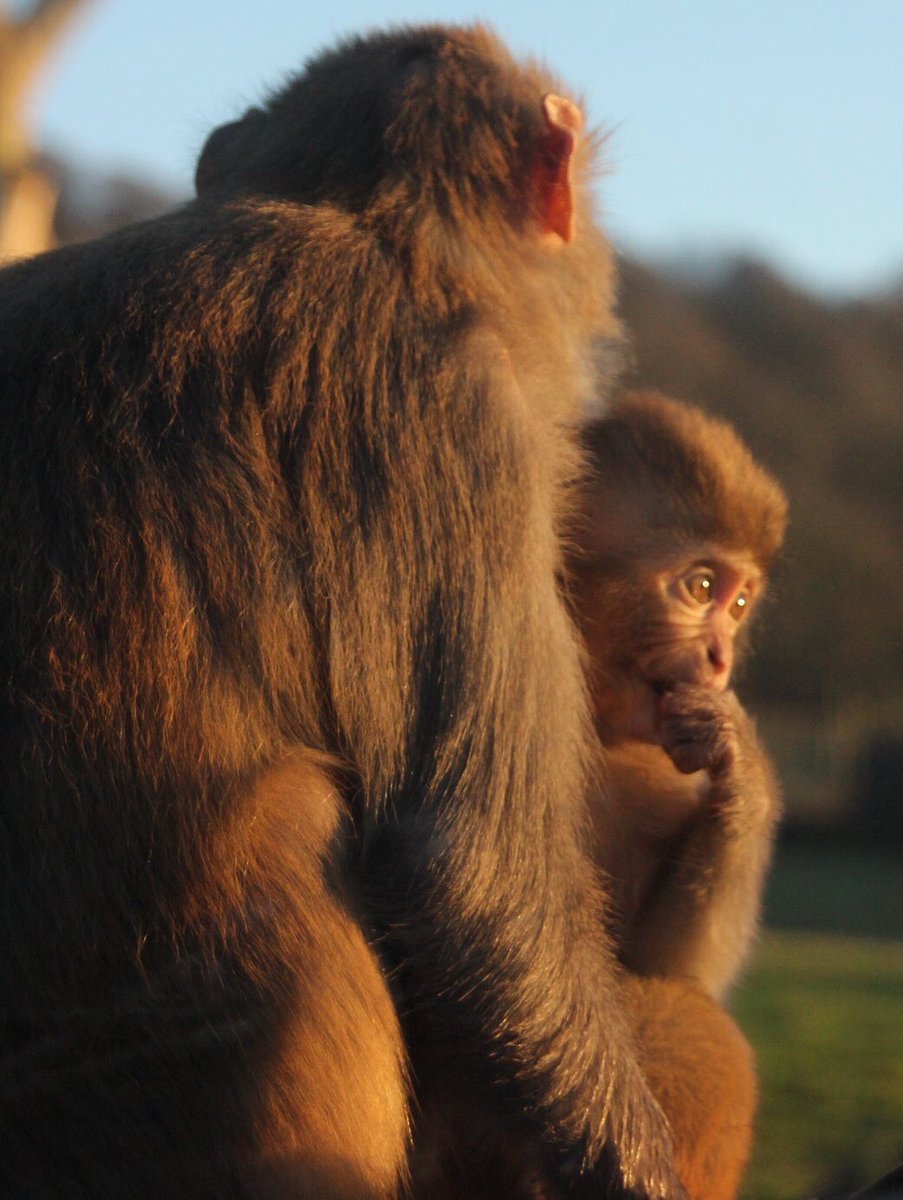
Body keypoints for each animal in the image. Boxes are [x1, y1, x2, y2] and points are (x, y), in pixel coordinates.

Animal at [563, 390, 788, 1199]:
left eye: (740, 602)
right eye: (699, 588)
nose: (719, 657)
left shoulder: (657, 771)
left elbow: (671, 962)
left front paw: (742, 765)